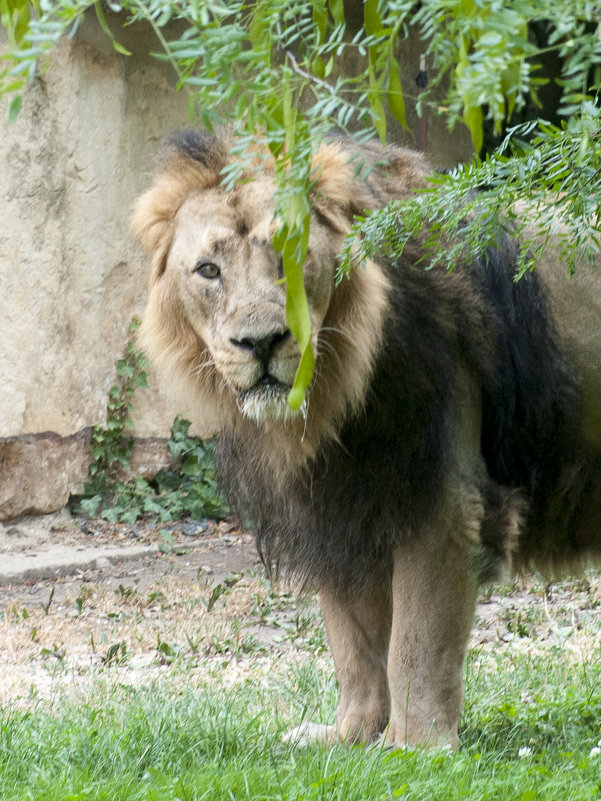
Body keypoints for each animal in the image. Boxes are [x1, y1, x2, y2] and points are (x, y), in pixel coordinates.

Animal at [131, 131, 600, 752]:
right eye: (208, 269)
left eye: (291, 252)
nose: (261, 342)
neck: (332, 403)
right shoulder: (332, 506)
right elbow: (352, 639)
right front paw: (350, 735)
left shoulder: (440, 502)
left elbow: (415, 643)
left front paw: (415, 748)